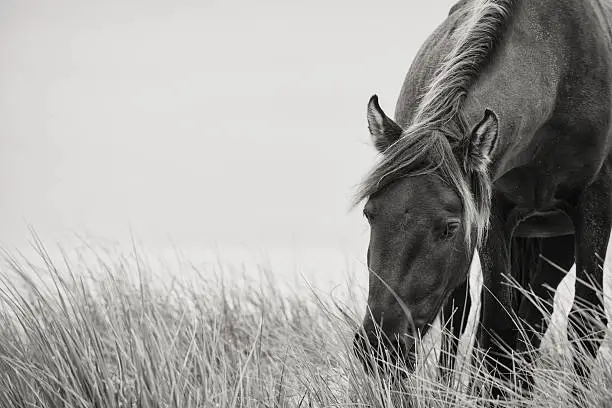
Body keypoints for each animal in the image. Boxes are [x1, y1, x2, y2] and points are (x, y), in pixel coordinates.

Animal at [352, 0, 612, 396]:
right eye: (370, 214)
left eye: (449, 226)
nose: (379, 347)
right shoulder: (494, 214)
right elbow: (496, 326)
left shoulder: (595, 204)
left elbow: (586, 321)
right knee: (473, 316)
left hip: (558, 239)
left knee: (534, 316)